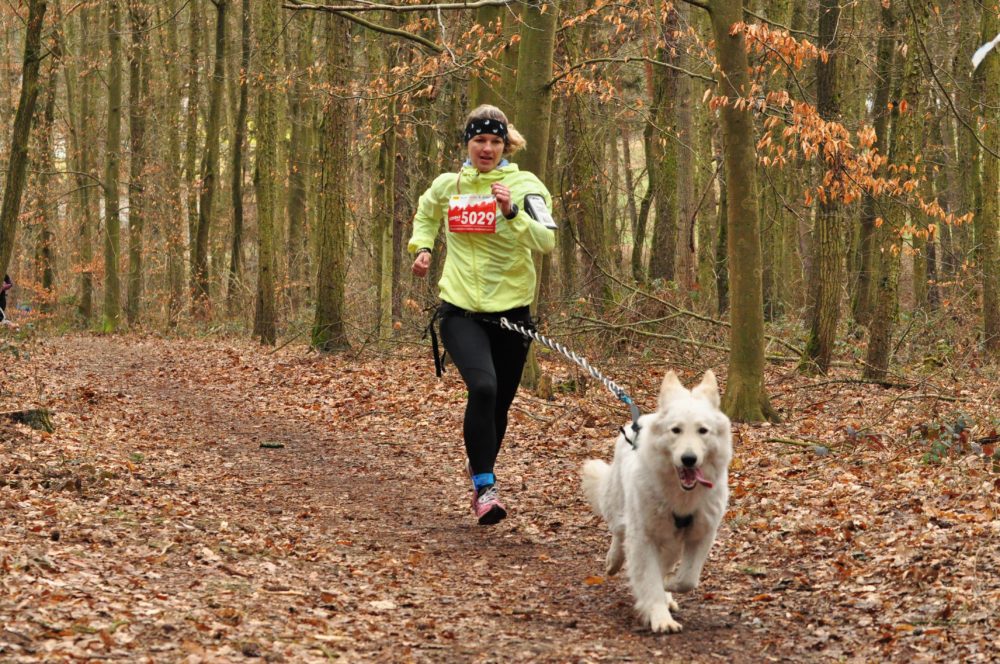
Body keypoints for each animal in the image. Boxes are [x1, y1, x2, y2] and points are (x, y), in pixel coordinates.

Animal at [580, 368, 736, 632]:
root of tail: (638, 422)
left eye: (702, 431)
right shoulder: (644, 537)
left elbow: (687, 579)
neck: (681, 496)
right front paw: (660, 618)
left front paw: (669, 588)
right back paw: (613, 560)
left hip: (671, 541)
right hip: (620, 509)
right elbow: (650, 579)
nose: (688, 459)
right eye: (676, 430)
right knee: (619, 532)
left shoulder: (701, 535)